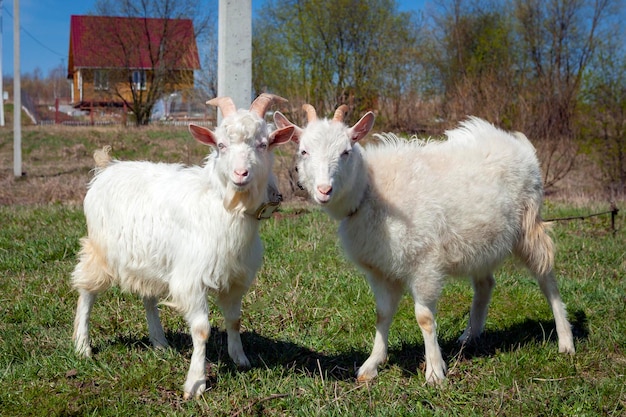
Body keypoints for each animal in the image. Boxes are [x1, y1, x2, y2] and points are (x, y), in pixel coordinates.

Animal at [69, 92, 294, 398]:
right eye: (220, 145)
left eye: (263, 144)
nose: (241, 173)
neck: (222, 205)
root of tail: (107, 167)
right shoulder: (191, 278)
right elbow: (201, 329)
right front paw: (195, 383)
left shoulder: (236, 278)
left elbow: (234, 319)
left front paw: (240, 359)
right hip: (100, 249)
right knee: (87, 291)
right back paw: (83, 346)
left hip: (150, 258)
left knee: (148, 297)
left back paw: (159, 342)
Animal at [276, 106, 572, 384]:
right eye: (303, 151)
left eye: (346, 152)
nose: (324, 190)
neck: (371, 190)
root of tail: (520, 145)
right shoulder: (380, 269)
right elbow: (382, 314)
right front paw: (371, 365)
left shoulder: (425, 263)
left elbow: (424, 318)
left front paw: (434, 371)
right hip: (481, 240)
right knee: (485, 284)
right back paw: (469, 335)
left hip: (528, 224)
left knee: (546, 277)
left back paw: (565, 341)